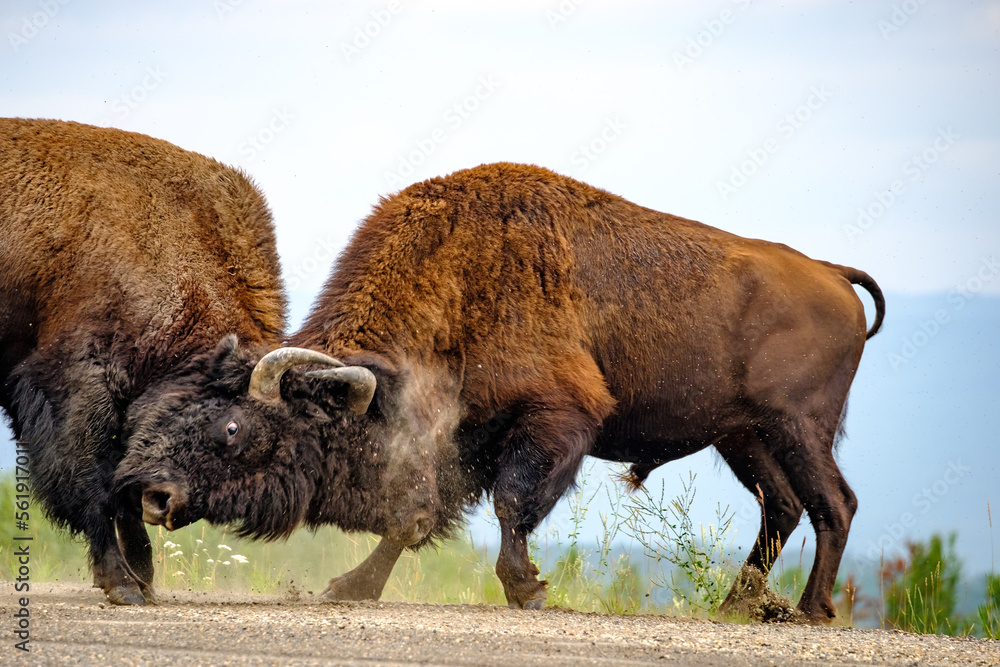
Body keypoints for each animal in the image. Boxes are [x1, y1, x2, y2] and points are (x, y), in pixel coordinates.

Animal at [0, 118, 290, 604]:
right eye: (231, 427)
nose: (167, 503)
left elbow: (121, 490)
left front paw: (144, 578)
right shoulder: (75, 389)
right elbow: (94, 486)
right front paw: (123, 585)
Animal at [117, 162, 884, 620]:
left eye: (235, 429)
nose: (155, 495)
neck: (456, 280)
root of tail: (831, 274)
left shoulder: (554, 420)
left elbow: (513, 504)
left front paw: (527, 589)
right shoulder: (459, 438)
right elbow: (415, 519)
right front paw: (349, 587)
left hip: (796, 426)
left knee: (834, 502)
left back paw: (810, 610)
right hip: (743, 436)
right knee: (783, 506)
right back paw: (737, 606)